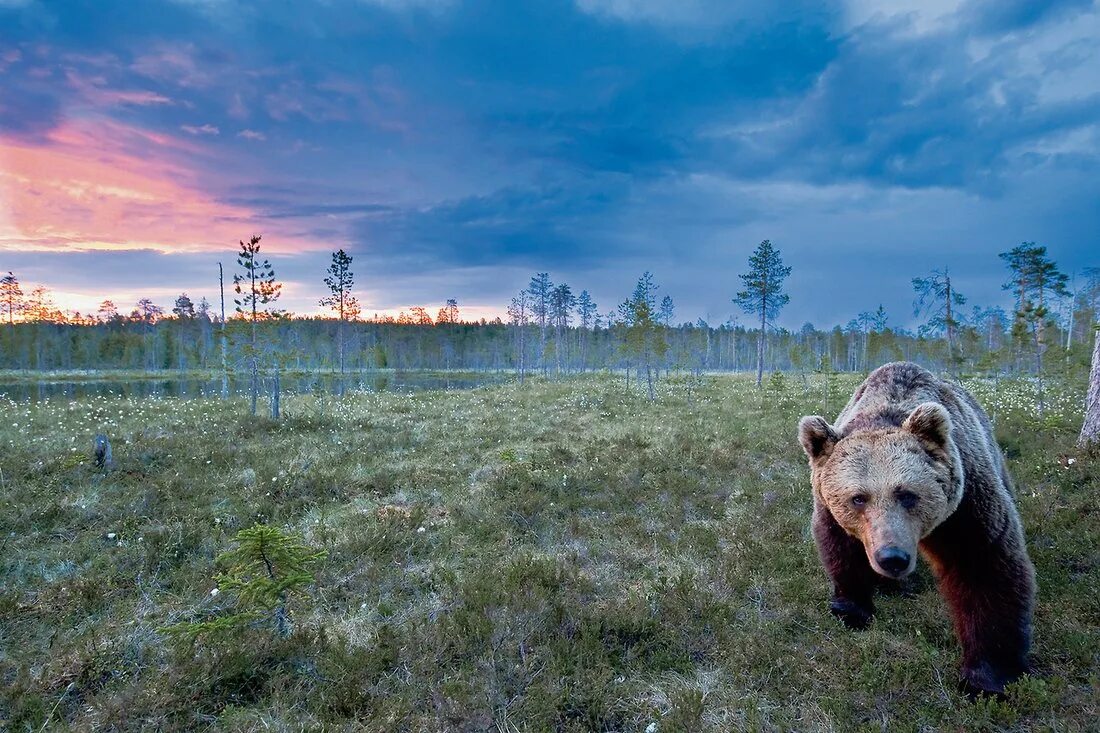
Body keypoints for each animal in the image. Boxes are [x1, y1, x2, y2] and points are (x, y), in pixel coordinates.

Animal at [796, 363, 1034, 695]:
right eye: (858, 498)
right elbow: (841, 548)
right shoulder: (832, 509)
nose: (892, 558)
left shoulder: (965, 506)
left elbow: (984, 567)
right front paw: (851, 609)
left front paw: (987, 679)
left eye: (907, 494)